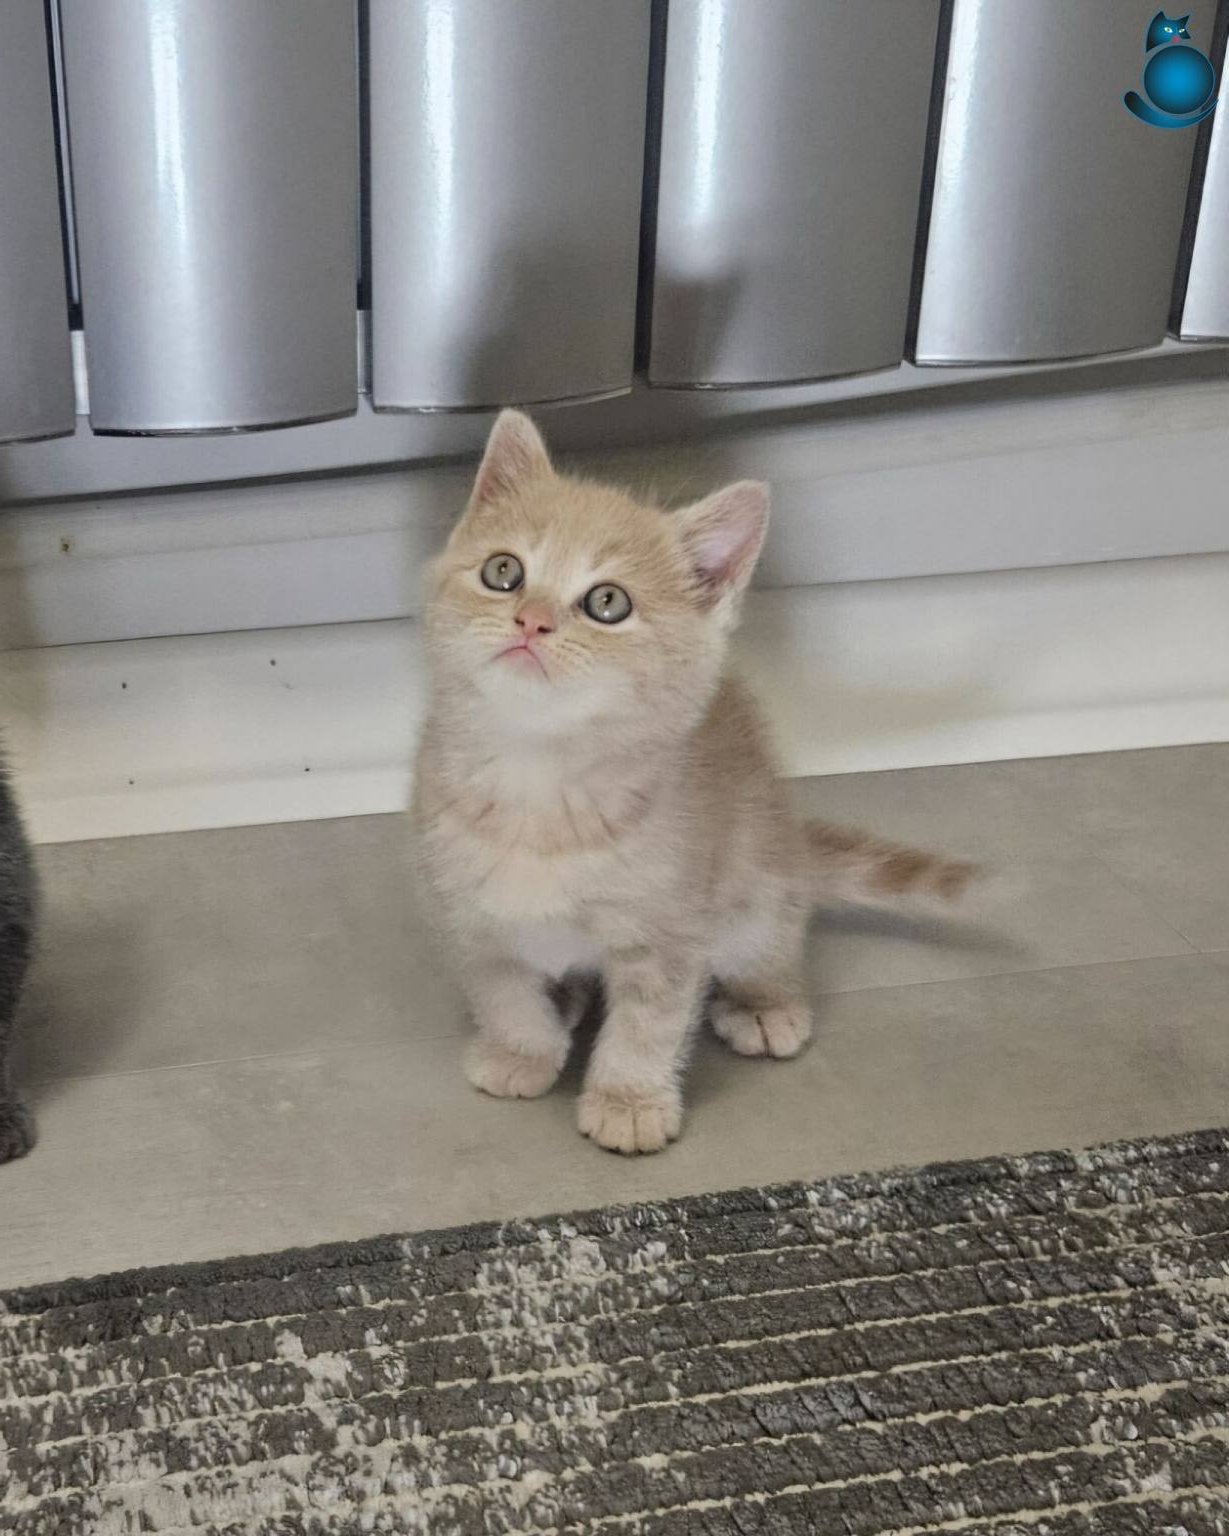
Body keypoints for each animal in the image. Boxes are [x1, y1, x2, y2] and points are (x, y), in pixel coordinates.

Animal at [411, 411, 977, 1155]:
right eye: (503, 571)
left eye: (607, 602)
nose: (531, 619)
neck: (539, 781)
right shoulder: (466, 914)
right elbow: (502, 991)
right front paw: (521, 1050)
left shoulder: (672, 927)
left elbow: (649, 1022)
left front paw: (627, 1100)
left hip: (759, 876)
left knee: (774, 939)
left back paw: (765, 1002)